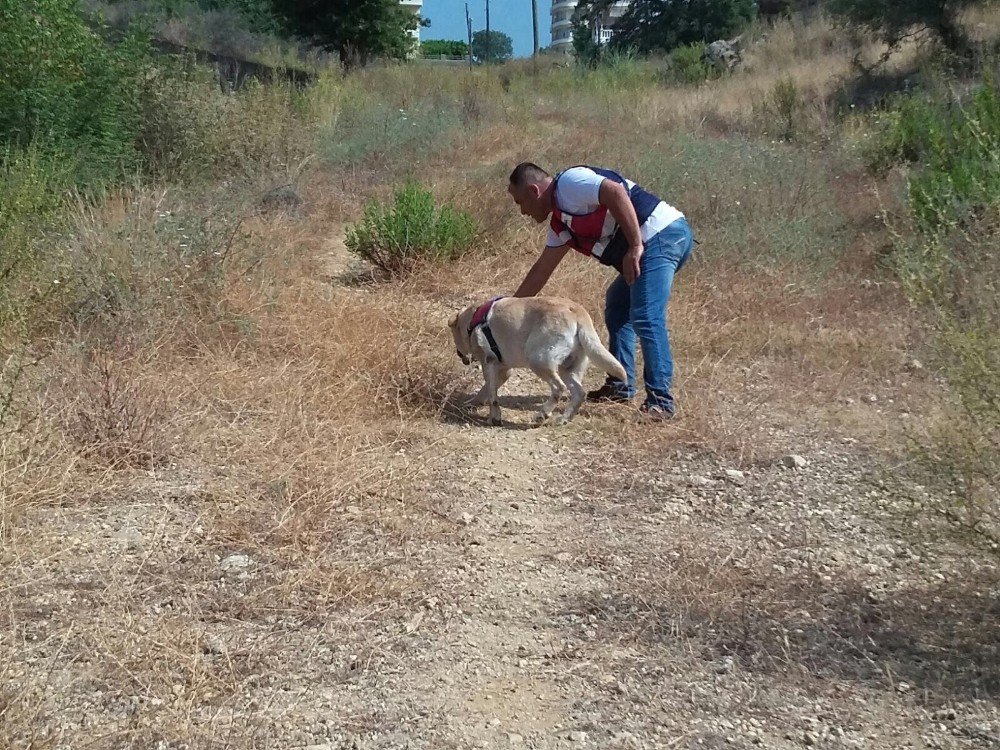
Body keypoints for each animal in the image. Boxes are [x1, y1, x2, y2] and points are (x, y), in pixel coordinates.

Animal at [448, 300, 624, 428]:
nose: (459, 355)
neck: (472, 321)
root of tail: (577, 313)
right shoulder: (504, 370)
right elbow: (487, 390)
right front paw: (475, 403)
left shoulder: (489, 363)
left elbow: (492, 395)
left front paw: (494, 417)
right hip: (568, 369)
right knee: (579, 393)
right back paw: (563, 419)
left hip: (538, 361)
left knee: (558, 388)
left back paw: (542, 414)